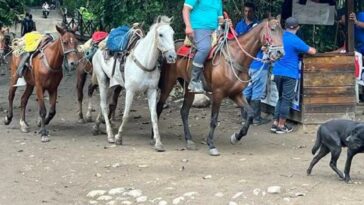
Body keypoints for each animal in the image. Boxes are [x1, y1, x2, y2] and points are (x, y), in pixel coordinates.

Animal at [91, 15, 176, 151]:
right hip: (102, 80)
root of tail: (99, 48)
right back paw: (110, 135)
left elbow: (154, 116)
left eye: (172, 34)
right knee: (104, 105)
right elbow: (126, 115)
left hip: (112, 84)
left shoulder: (152, 91)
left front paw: (158, 143)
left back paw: (96, 127)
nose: (172, 56)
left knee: (104, 103)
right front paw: (118, 138)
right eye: (161, 34)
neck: (145, 62)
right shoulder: (130, 91)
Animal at [156, 18, 284, 155]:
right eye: (272, 29)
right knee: (159, 106)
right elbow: (214, 120)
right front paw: (211, 144)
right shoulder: (218, 93)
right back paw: (155, 136)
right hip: (168, 83)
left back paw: (189, 140)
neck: (236, 56)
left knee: (184, 111)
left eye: (282, 32)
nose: (280, 52)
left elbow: (250, 114)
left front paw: (236, 137)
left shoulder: (236, 93)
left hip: (190, 88)